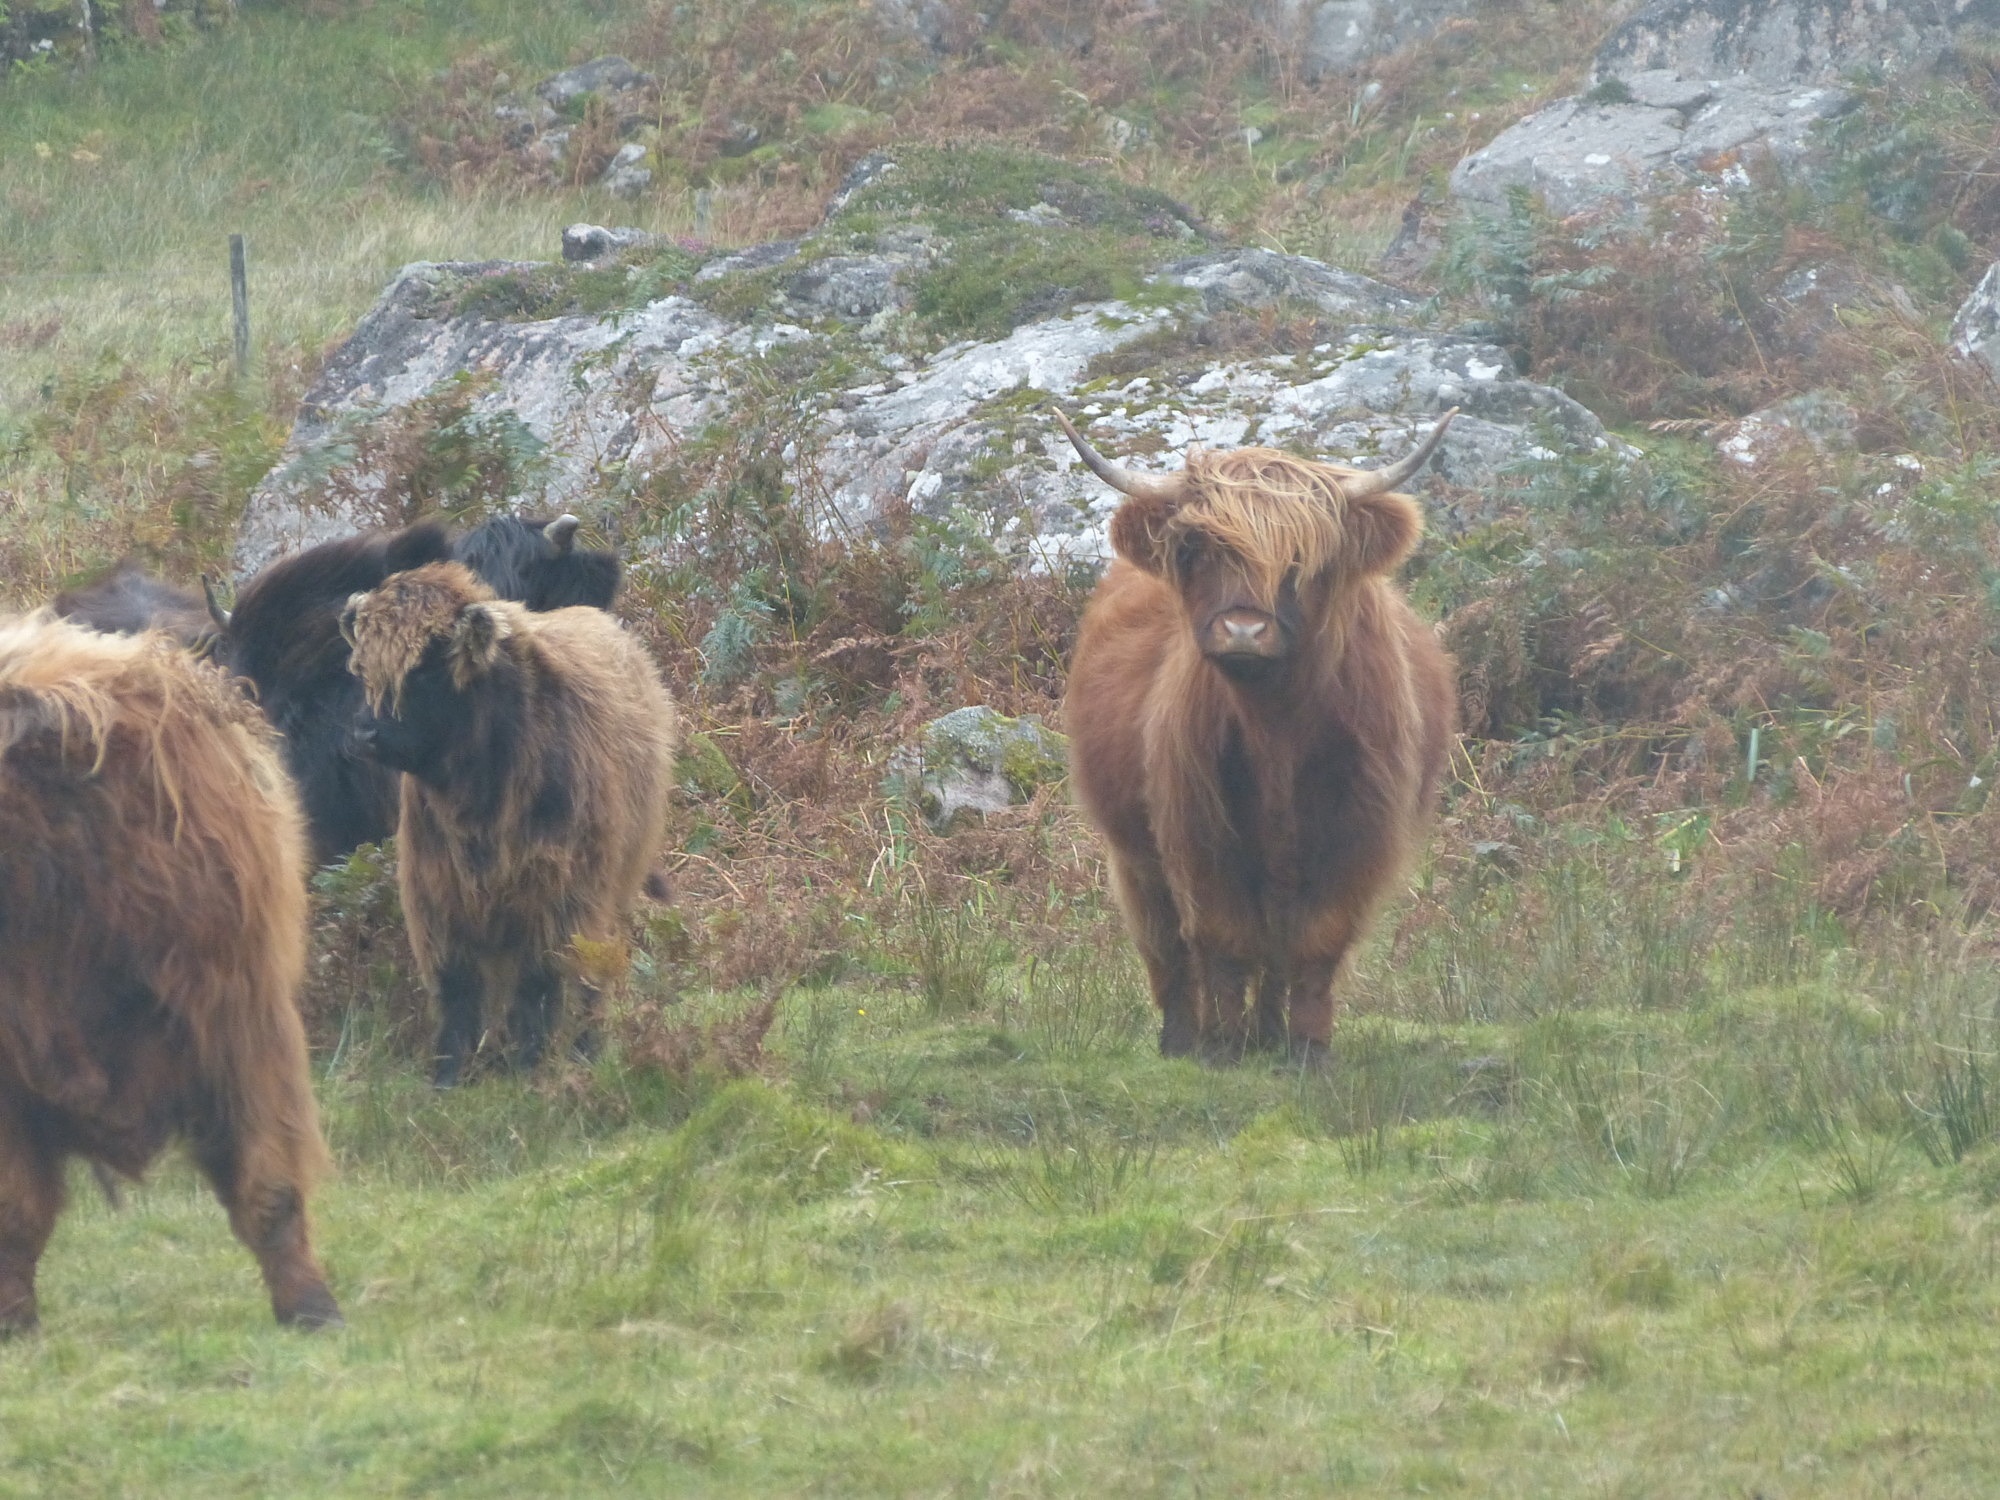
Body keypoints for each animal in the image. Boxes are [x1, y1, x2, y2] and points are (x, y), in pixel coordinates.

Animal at [342, 560, 680, 1088]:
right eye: (361, 669)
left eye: (426, 668)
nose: (364, 733)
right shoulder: (436, 897)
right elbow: (456, 990)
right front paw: (447, 1076)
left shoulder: (555, 895)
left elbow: (537, 986)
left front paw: (531, 1068)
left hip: (609, 893)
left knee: (591, 976)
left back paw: (584, 1048)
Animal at [1056, 412, 1464, 1072]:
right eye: (1196, 548)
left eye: (1303, 558)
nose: (1244, 629)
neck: (1278, 730)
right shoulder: (1197, 831)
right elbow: (1220, 940)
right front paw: (1223, 1048)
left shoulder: (1358, 835)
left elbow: (1317, 944)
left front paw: (1308, 1051)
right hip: (1134, 856)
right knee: (1169, 949)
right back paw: (1184, 1041)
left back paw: (1269, 1035)